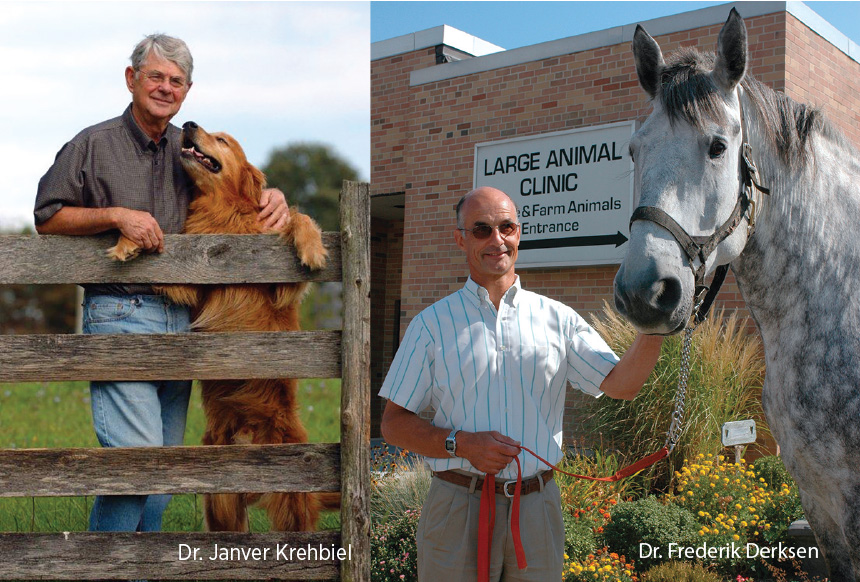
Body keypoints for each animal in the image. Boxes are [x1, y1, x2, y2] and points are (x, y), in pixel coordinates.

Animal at [105, 120, 326, 532]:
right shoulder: (193, 278)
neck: (221, 213)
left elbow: (298, 218)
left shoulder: (278, 282)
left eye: (222, 140)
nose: (190, 124)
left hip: (293, 494)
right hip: (220, 495)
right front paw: (130, 239)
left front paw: (312, 249)